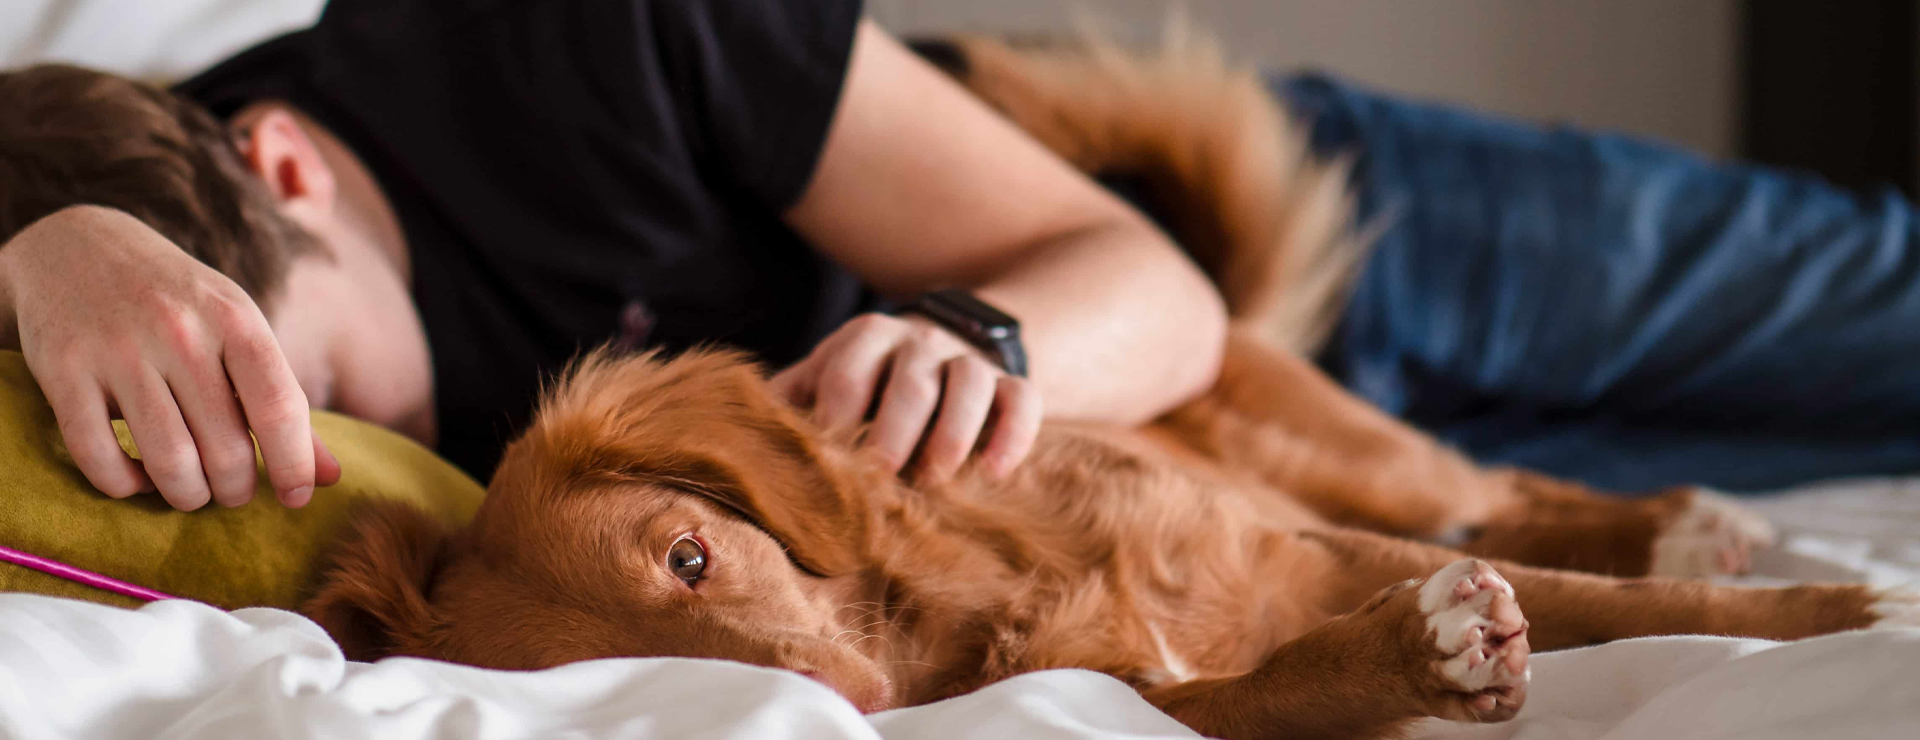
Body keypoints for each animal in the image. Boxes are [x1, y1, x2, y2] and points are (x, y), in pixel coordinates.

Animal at [299, 34, 1920, 738]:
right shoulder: (1139, 688)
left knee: (1507, 486)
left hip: (1360, 457)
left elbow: (1637, 607)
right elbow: (1272, 686)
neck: (967, 593)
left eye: (693, 555)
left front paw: (1845, 612)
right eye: (617, 678)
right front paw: (1415, 658)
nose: (857, 709)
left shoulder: (1301, 540)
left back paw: (1689, 517)